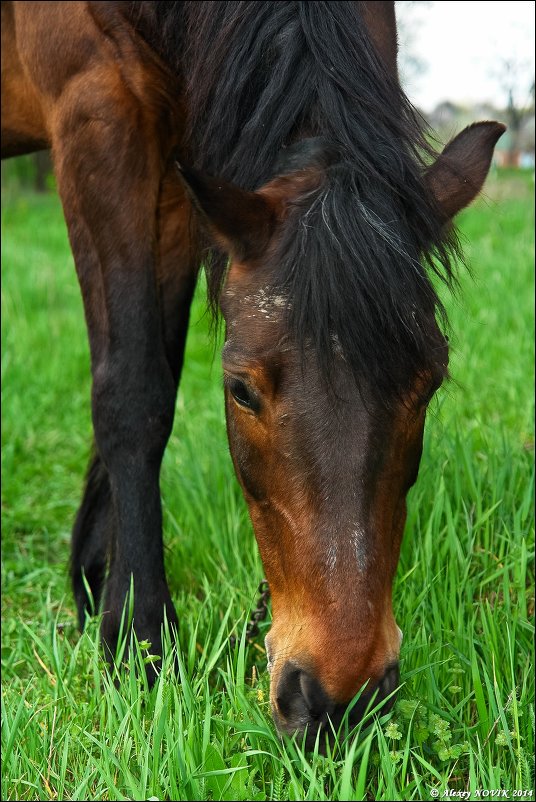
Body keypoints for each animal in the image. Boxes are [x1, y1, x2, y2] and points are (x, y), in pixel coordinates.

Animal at [0, 3, 504, 748]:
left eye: (429, 384)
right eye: (241, 390)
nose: (340, 700)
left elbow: (155, 358)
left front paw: (96, 589)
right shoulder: (99, 105)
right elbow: (133, 388)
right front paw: (139, 644)